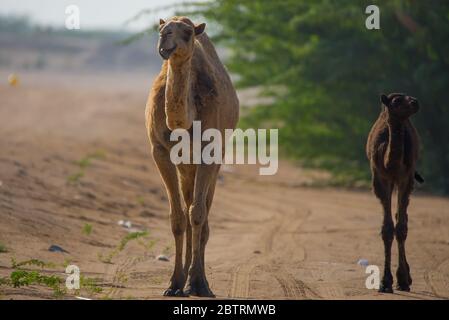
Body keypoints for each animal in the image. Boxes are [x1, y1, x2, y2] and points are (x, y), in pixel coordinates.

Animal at [145, 16, 240, 298]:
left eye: (187, 32)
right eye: (161, 28)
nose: (165, 37)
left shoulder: (210, 152)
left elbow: (197, 213)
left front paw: (198, 283)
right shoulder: (159, 150)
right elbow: (177, 217)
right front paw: (174, 283)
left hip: (214, 160)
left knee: (203, 213)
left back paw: (196, 280)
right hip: (185, 167)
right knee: (187, 211)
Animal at [366, 92, 422, 292]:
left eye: (410, 97)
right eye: (397, 101)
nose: (415, 102)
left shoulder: (405, 177)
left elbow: (401, 228)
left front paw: (402, 279)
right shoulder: (380, 177)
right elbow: (387, 229)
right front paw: (385, 282)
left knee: (402, 216)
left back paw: (406, 277)